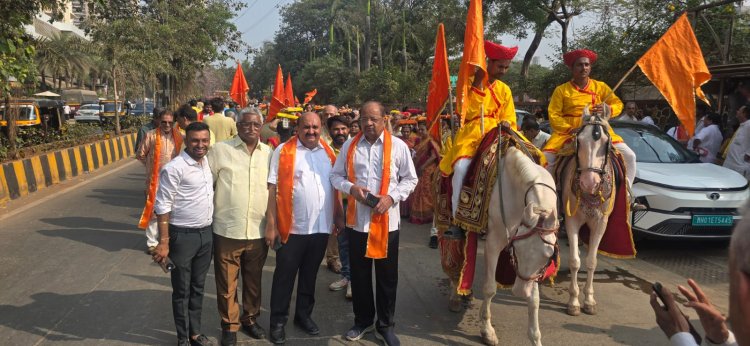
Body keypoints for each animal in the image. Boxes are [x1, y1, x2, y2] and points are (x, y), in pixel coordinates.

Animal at [482, 146, 560, 346]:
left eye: (548, 256)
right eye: (516, 249)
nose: (519, 291)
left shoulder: (534, 274)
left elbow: (535, 301)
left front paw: (535, 338)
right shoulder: (494, 242)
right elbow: (489, 288)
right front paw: (487, 331)